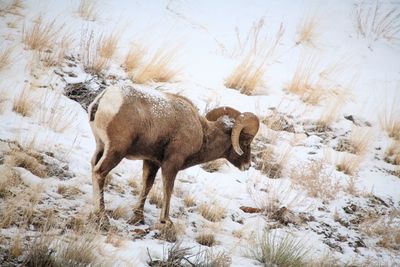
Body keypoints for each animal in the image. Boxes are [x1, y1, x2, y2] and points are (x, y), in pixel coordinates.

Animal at [87, 84, 260, 226]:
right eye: (245, 142)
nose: (247, 165)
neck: (202, 133)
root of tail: (104, 98)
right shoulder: (172, 163)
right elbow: (168, 188)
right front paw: (166, 220)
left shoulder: (151, 162)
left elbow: (147, 186)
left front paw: (139, 217)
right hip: (116, 151)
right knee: (99, 173)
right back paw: (102, 217)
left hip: (101, 146)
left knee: (94, 166)